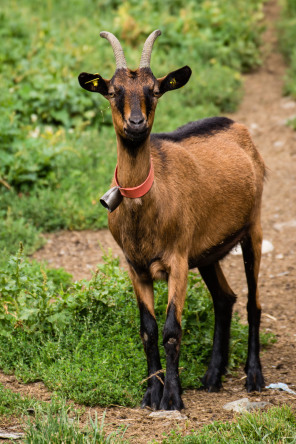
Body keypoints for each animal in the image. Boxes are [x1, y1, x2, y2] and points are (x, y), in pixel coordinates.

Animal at [78, 29, 266, 412]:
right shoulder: (135, 266)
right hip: (207, 251)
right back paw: (212, 375)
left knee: (253, 302)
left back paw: (254, 376)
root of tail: (238, 126)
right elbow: (148, 330)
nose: (136, 124)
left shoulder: (177, 259)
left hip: (252, 227)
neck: (145, 207)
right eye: (113, 91)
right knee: (225, 298)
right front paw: (151, 393)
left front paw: (173, 398)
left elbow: (171, 330)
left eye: (154, 90)